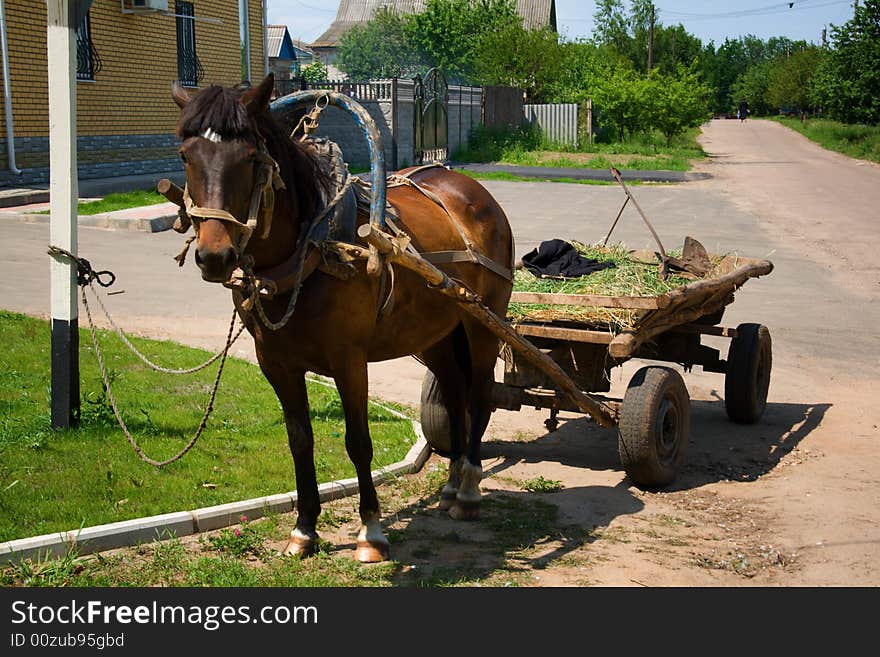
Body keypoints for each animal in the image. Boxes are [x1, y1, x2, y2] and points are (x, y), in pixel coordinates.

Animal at [170, 74, 516, 560]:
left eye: (251, 157)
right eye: (187, 155)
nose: (214, 256)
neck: (312, 250)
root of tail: (473, 191)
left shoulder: (349, 362)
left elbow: (358, 442)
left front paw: (371, 531)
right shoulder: (276, 364)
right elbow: (300, 440)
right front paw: (304, 529)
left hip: (482, 323)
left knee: (481, 394)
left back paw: (467, 490)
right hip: (435, 334)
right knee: (453, 391)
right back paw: (450, 486)